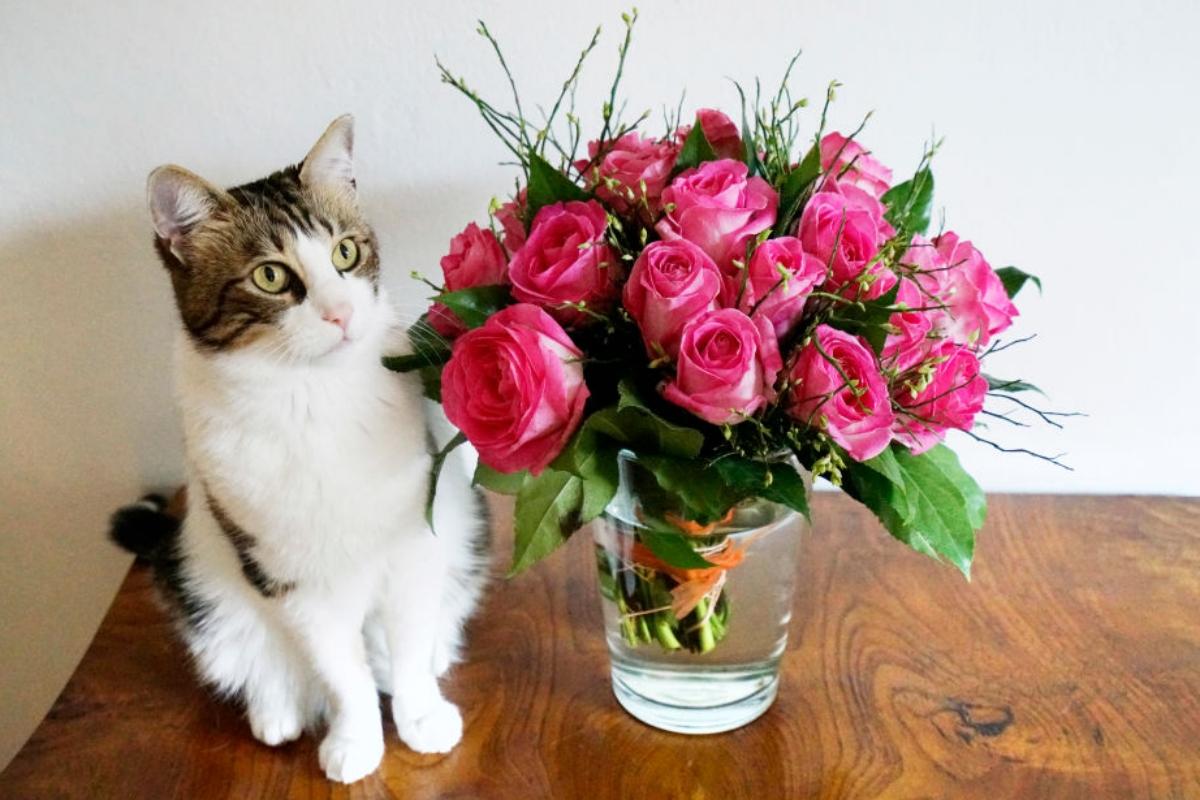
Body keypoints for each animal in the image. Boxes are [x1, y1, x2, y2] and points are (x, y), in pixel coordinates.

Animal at [109, 115, 487, 786]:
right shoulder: (287, 575)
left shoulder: (414, 543)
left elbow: (409, 641)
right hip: (203, 577)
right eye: (270, 276)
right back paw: (276, 707)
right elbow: (340, 672)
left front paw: (420, 714)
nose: (340, 314)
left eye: (345, 252)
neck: (311, 398)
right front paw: (355, 739)